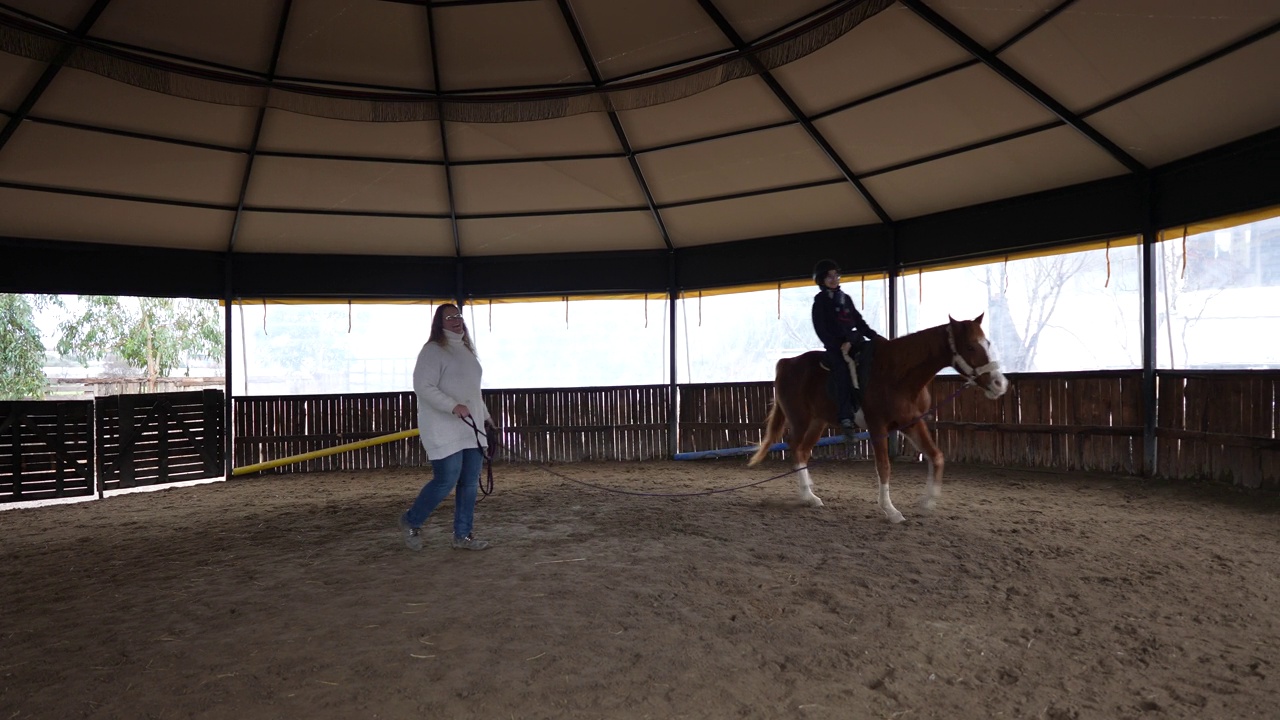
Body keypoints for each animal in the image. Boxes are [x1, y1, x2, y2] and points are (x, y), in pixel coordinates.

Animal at [747, 313, 1008, 520]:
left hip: (817, 422)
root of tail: (786, 363)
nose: (1000, 384)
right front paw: (890, 510)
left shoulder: (911, 422)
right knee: (794, 447)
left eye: (987, 342)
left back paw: (811, 495)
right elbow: (884, 466)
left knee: (802, 451)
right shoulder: (877, 426)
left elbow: (936, 455)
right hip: (801, 419)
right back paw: (807, 495)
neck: (898, 373)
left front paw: (928, 501)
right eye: (971, 347)